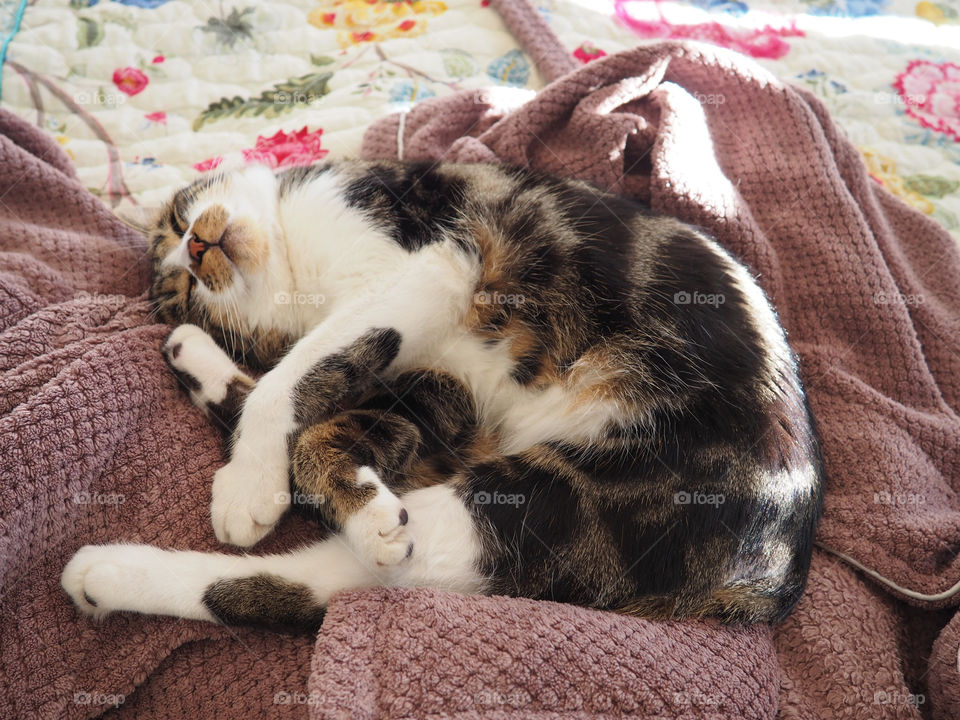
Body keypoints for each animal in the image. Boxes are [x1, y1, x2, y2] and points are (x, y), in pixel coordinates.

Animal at [62, 159, 824, 632]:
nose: (194, 250)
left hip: (579, 499)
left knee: (360, 569)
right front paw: (278, 473)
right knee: (329, 583)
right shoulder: (439, 388)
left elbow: (294, 381)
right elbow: (312, 394)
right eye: (178, 286)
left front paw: (251, 480)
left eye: (176, 220)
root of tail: (774, 584)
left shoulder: (433, 264)